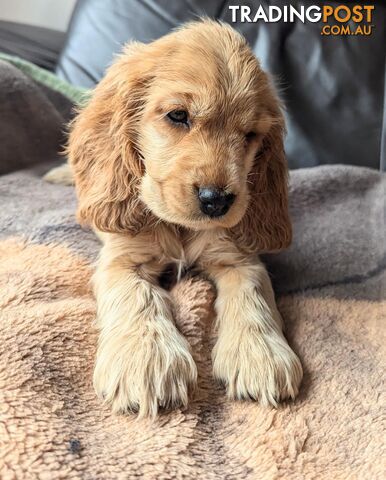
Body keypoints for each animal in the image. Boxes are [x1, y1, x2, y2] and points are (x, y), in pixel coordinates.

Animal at [63, 19, 304, 416]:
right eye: (178, 116)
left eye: (250, 135)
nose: (216, 201)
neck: (180, 228)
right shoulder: (122, 259)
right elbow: (137, 293)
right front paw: (146, 357)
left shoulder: (238, 257)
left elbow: (252, 294)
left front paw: (261, 353)